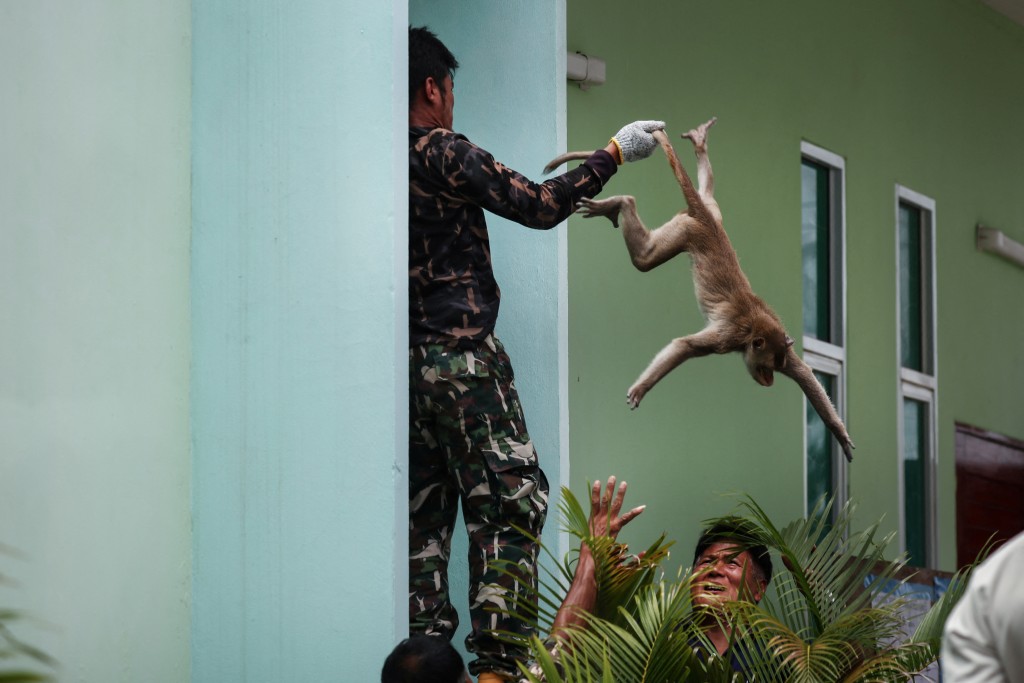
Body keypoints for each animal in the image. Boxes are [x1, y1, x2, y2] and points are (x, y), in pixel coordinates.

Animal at [548, 118, 851, 464]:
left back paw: (688, 159)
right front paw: (642, 387)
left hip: (702, 218)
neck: (754, 330)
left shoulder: (782, 345)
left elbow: (804, 375)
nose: (771, 379)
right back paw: (624, 203)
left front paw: (839, 432)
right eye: (767, 367)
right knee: (645, 259)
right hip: (687, 230)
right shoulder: (729, 337)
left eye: (776, 367)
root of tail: (707, 220)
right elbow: (686, 346)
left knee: (702, 203)